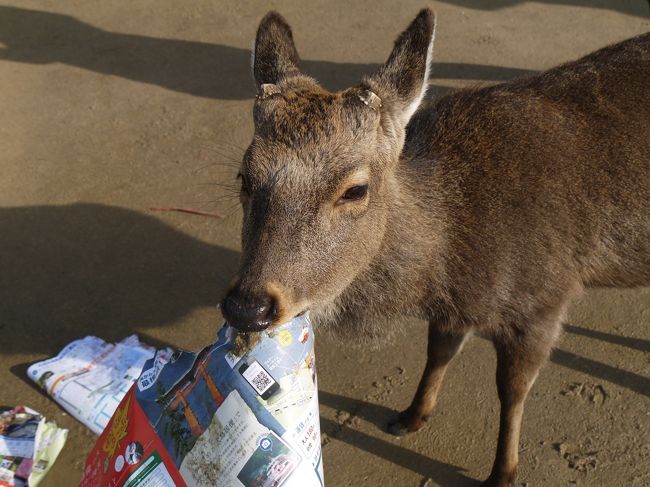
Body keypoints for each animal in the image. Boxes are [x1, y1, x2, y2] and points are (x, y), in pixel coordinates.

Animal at [219, 8, 648, 487]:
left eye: (355, 189)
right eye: (244, 176)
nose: (247, 306)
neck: (451, 260)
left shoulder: (543, 299)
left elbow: (512, 390)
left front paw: (502, 471)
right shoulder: (456, 308)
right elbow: (439, 349)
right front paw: (411, 414)